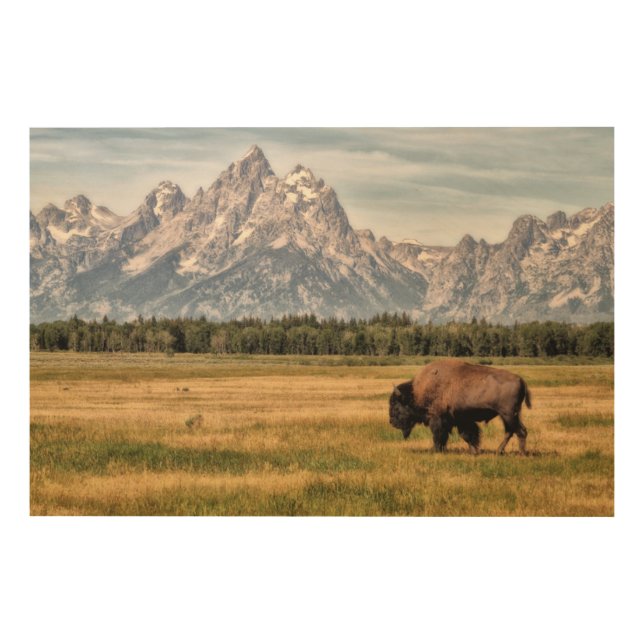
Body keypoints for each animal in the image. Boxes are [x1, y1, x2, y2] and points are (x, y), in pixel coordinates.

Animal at [389, 359, 531, 455]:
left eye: (396, 406)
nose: (391, 422)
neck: (416, 393)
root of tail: (520, 379)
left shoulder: (438, 419)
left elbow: (439, 435)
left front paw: (436, 450)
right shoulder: (461, 420)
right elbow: (468, 436)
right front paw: (474, 451)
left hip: (508, 414)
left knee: (520, 431)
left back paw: (521, 453)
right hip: (508, 416)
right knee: (511, 431)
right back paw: (499, 451)